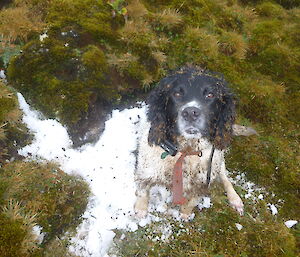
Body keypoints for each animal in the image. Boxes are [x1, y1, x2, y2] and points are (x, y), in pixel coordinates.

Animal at [135, 65, 245, 218]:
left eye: (210, 95)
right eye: (177, 94)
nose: (190, 113)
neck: (186, 150)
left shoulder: (202, 182)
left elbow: (191, 202)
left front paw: (185, 214)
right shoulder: (145, 172)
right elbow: (142, 192)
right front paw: (140, 211)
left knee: (225, 177)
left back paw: (235, 199)